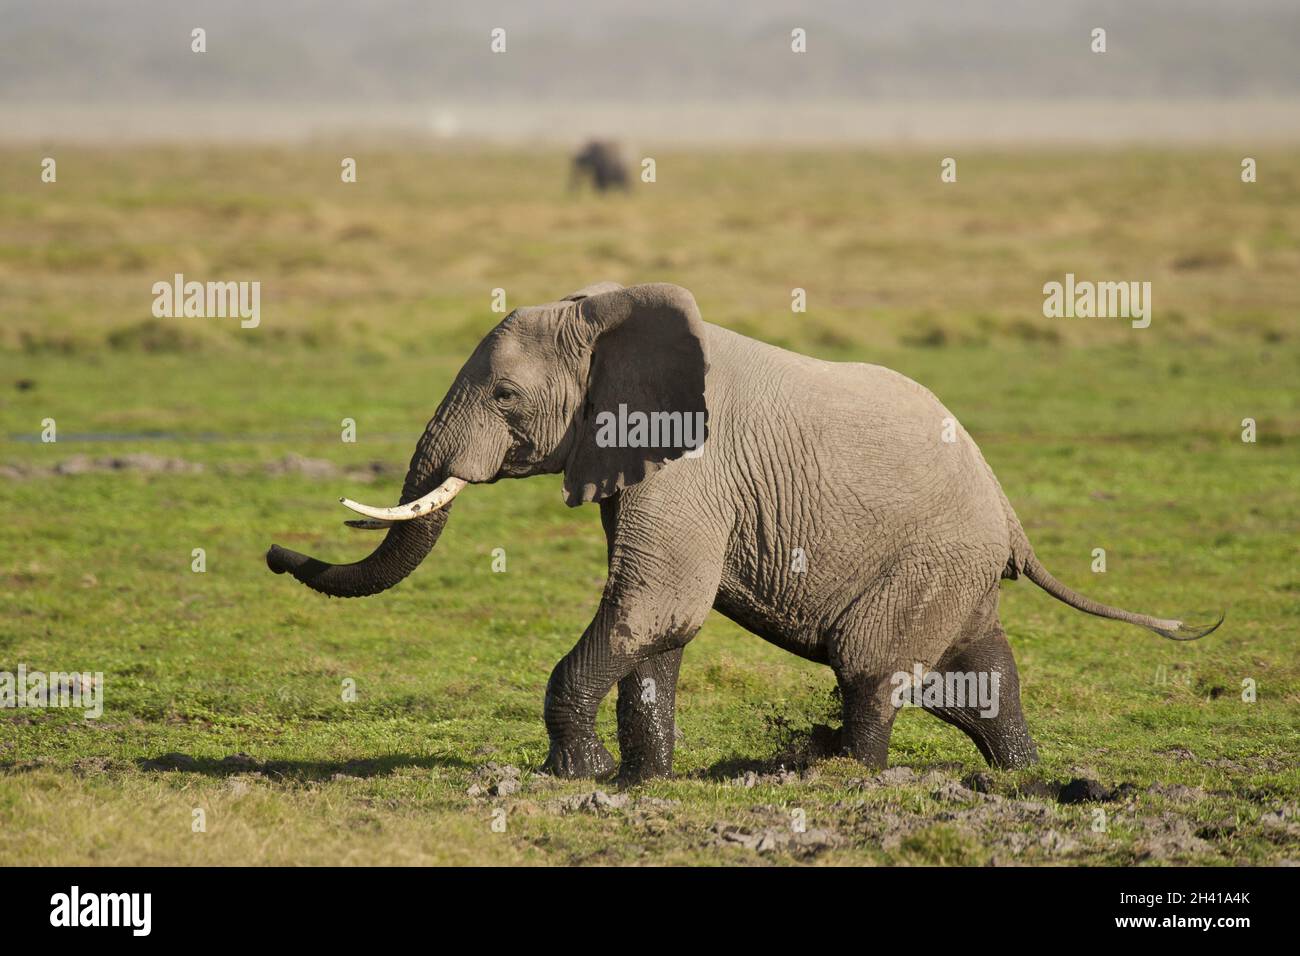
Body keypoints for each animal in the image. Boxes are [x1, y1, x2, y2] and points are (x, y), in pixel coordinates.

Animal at [269, 282, 1222, 785]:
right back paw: (1023, 776)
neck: (607, 317)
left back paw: (844, 775)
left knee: (871, 671)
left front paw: (575, 778)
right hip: (957, 569)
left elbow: (658, 602)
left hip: (931, 560)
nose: (277, 554)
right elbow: (656, 624)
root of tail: (1010, 511)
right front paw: (643, 782)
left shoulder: (691, 466)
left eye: (504, 396)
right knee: (979, 678)